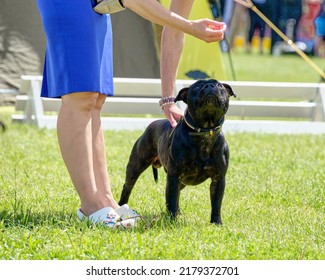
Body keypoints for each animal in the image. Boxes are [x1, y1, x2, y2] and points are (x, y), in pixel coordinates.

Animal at [119, 79, 235, 225]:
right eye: (196, 87)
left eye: (220, 85)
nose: (209, 85)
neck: (205, 131)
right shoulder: (174, 176)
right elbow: (172, 199)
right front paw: (172, 222)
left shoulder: (218, 179)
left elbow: (216, 203)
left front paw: (216, 222)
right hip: (136, 166)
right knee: (127, 187)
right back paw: (121, 207)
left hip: (182, 181)